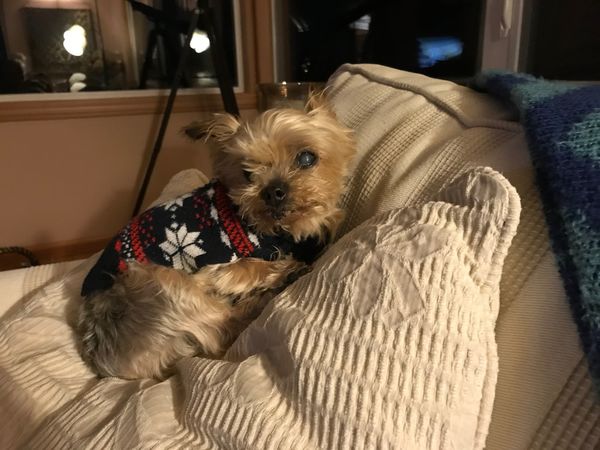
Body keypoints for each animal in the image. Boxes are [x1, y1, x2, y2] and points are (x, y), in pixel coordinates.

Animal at [77, 94, 354, 380]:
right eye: (247, 173)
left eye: (307, 158)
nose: (273, 191)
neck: (270, 227)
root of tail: (104, 362)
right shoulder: (219, 269)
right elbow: (253, 267)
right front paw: (285, 266)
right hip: (160, 283)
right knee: (223, 328)